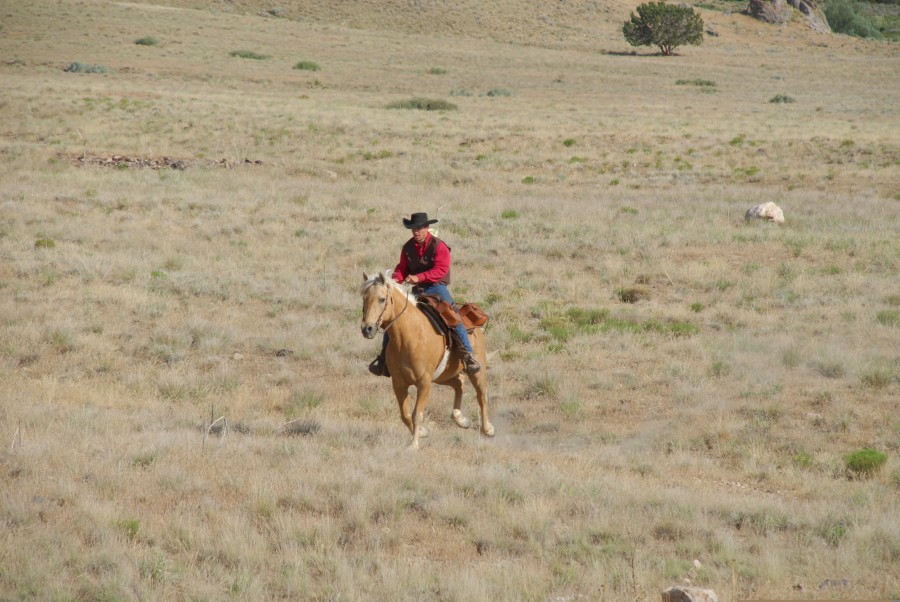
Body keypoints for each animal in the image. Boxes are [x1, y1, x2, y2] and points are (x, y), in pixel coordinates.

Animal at [360, 270, 500, 446]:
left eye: (382, 299)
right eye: (364, 298)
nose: (367, 329)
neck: (409, 336)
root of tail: (473, 324)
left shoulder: (424, 382)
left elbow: (417, 414)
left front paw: (413, 445)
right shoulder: (398, 383)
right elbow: (405, 414)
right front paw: (422, 432)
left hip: (477, 372)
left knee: (481, 395)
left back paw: (488, 429)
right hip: (442, 376)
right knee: (459, 384)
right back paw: (461, 419)